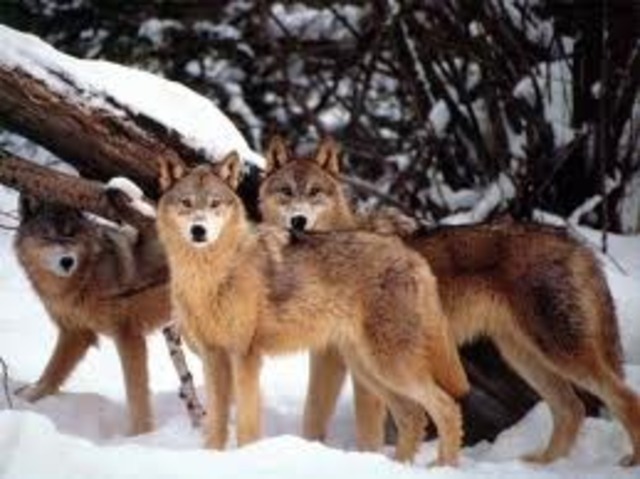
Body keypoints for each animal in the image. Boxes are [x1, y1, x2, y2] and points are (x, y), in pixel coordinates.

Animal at [14, 195, 170, 435]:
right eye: (48, 236)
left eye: (71, 234)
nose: (67, 261)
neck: (85, 277)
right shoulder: (75, 333)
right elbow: (50, 372)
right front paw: (26, 400)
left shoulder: (128, 337)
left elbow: (136, 393)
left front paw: (140, 434)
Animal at [156, 153, 470, 466]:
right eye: (186, 203)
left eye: (214, 204)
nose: (199, 230)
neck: (211, 276)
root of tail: (412, 256)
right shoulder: (213, 357)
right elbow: (215, 426)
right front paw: (212, 458)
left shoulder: (244, 357)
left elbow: (246, 424)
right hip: (368, 368)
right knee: (413, 415)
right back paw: (399, 466)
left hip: (389, 366)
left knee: (446, 407)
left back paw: (443, 467)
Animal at [258, 136, 640, 466]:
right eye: (286, 192)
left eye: (314, 193)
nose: (298, 220)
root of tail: (574, 242)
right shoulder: (329, 359)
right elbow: (312, 419)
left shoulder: (358, 372)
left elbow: (368, 431)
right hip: (523, 356)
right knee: (572, 408)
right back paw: (541, 464)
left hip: (558, 353)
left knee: (622, 397)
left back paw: (628, 460)